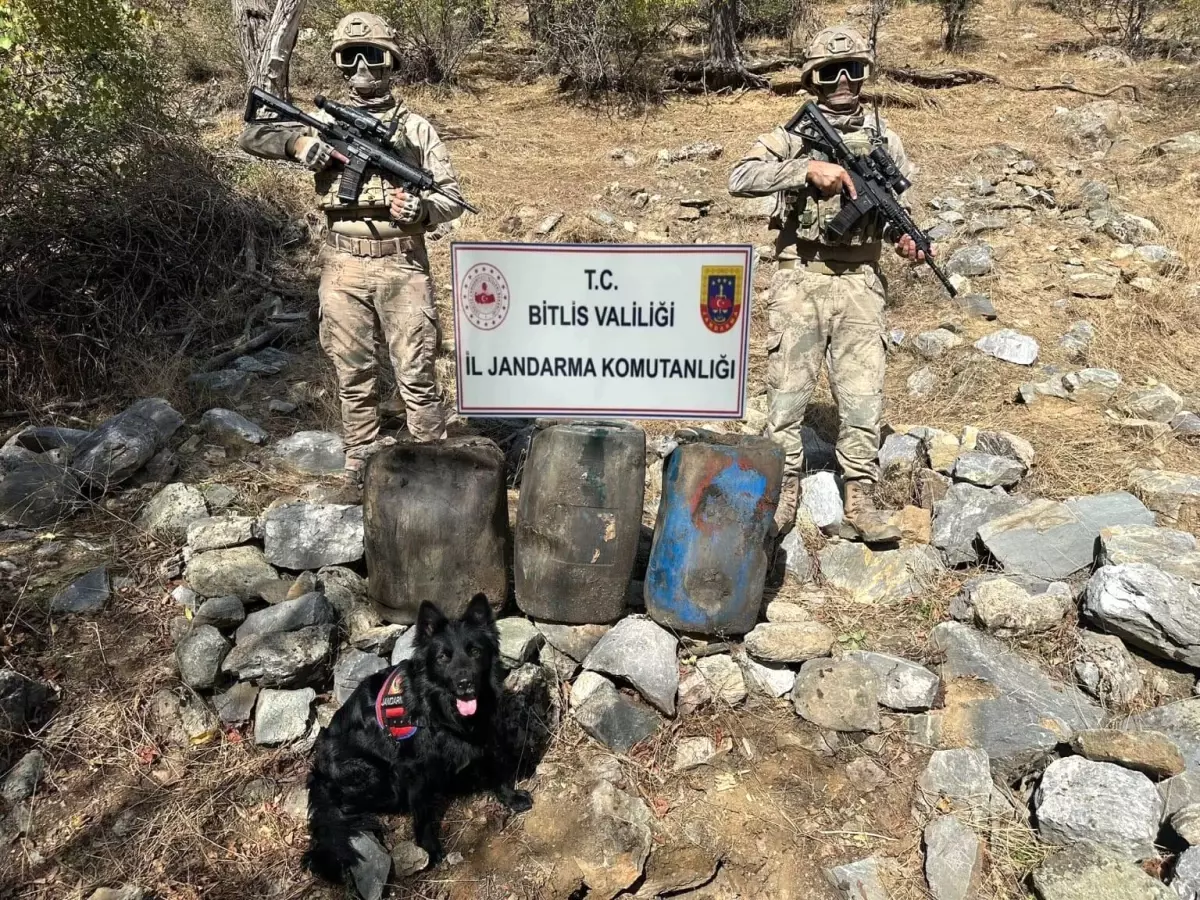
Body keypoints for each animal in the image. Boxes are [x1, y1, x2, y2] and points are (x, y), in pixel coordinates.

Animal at [302, 595, 532, 883]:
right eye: (443, 657)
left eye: (475, 652)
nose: (465, 683)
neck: (440, 710)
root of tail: (320, 772)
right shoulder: (412, 769)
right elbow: (421, 813)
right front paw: (429, 849)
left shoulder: (481, 738)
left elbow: (496, 770)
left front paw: (511, 798)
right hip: (378, 778)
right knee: (346, 805)